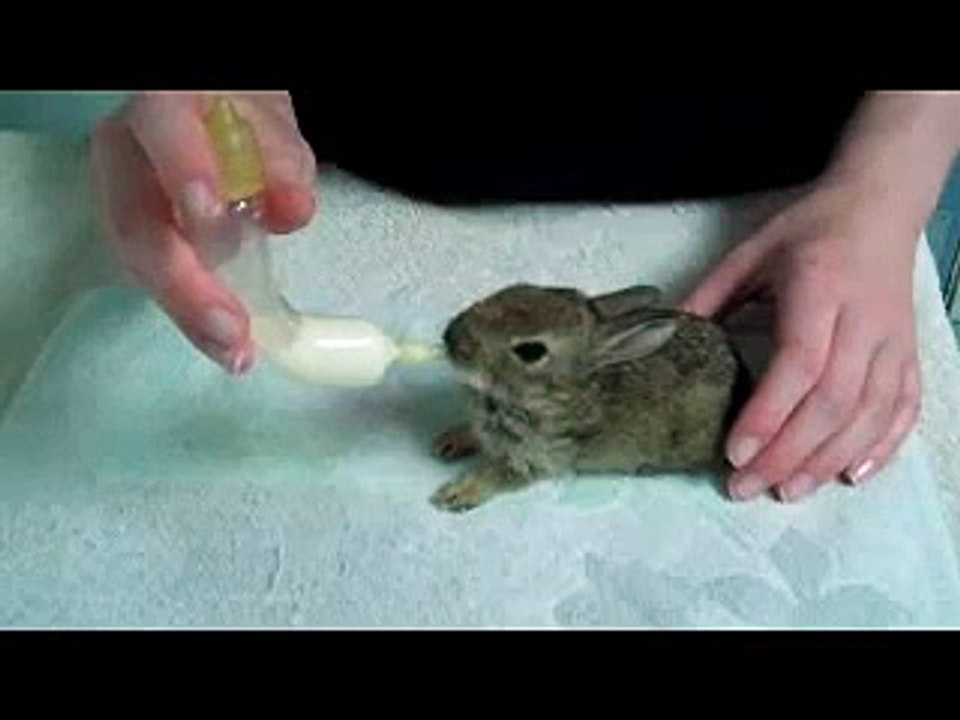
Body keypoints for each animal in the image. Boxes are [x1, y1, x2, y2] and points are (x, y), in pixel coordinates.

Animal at [429, 282, 753, 513]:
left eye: (531, 351)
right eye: (512, 290)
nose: (451, 337)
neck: (544, 394)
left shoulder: (538, 455)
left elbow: (498, 475)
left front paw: (456, 493)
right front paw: (450, 441)